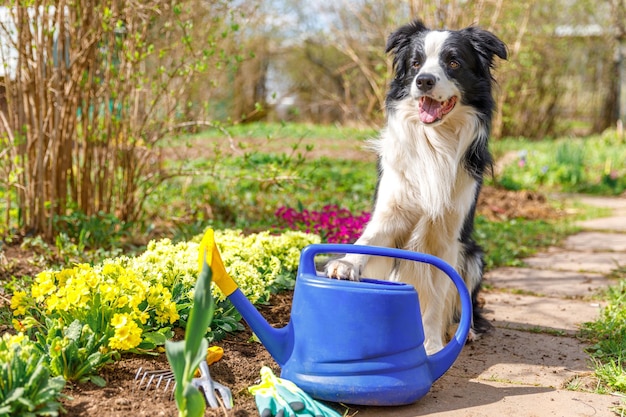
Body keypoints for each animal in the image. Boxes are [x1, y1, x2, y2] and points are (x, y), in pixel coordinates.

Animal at [324, 18, 504, 352]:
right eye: (416, 63)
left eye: (453, 62)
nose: (423, 81)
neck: (434, 141)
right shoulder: (392, 211)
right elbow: (368, 241)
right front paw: (345, 264)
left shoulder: (448, 236)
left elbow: (438, 295)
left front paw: (432, 344)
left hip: (473, 256)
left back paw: (466, 331)